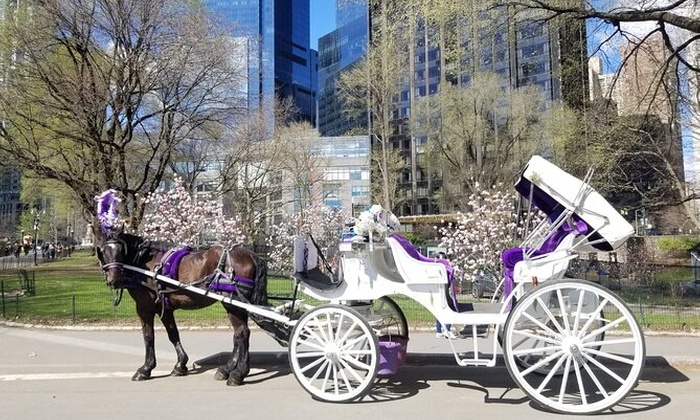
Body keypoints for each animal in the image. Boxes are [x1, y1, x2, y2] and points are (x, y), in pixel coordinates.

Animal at [93, 228, 268, 386]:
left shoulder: (144, 307)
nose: (114, 279)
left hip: (232, 303)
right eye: (102, 250)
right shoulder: (165, 308)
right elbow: (173, 334)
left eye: (120, 250)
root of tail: (252, 255)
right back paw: (227, 369)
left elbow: (148, 337)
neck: (143, 262)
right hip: (236, 304)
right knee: (238, 335)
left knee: (242, 333)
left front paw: (145, 369)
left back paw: (238, 374)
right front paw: (180, 365)